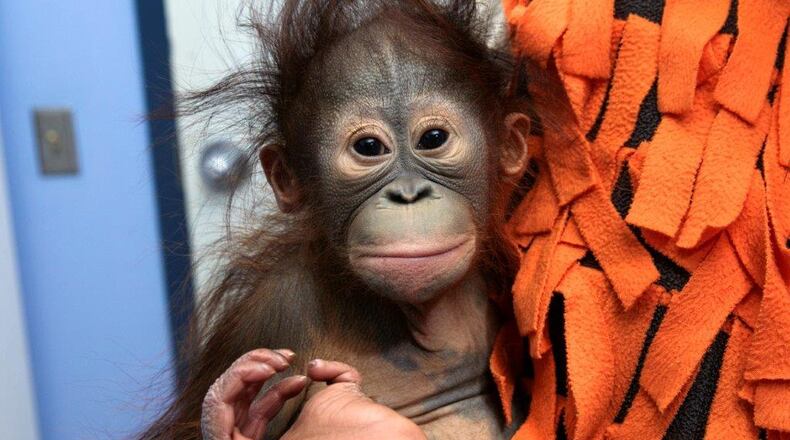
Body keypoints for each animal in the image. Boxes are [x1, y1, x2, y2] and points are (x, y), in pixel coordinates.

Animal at [138, 0, 536, 438]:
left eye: (433, 139)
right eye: (369, 147)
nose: (408, 194)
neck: (425, 324)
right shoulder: (270, 315)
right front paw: (238, 419)